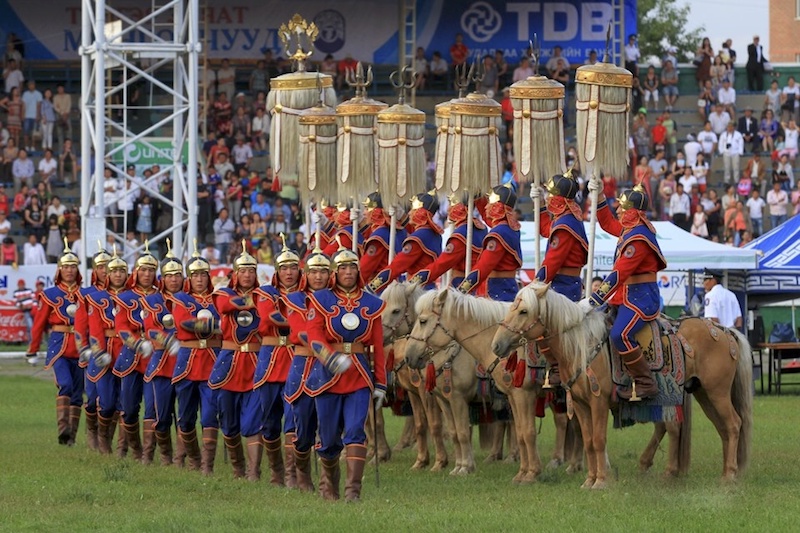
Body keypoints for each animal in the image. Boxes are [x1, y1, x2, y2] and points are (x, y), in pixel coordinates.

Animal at [406, 286, 580, 482]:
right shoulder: (447, 399)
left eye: (422, 321)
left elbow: (525, 432)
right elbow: (457, 432)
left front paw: (531, 473)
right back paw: (574, 466)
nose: (408, 355)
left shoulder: (517, 395)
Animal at [490, 282, 752, 486]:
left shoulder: (597, 402)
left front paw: (601, 481)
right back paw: (720, 471)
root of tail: (725, 330)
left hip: (716, 392)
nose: (496, 345)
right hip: (703, 393)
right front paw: (590, 480)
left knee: (733, 424)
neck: (582, 346)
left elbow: (598, 440)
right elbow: (588, 442)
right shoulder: (581, 405)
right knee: (718, 428)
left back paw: (729, 475)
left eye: (523, 311)